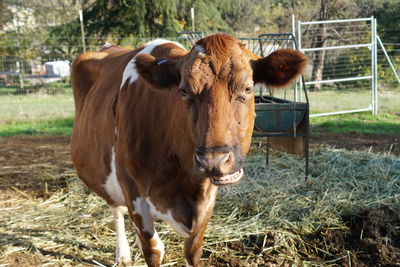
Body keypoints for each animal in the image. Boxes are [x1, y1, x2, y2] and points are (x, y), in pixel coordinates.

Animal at [70, 34, 304, 266]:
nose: (213, 161)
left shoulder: (207, 197)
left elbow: (193, 249)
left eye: (247, 89)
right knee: (116, 209)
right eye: (183, 91)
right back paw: (123, 255)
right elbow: (154, 249)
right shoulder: (133, 193)